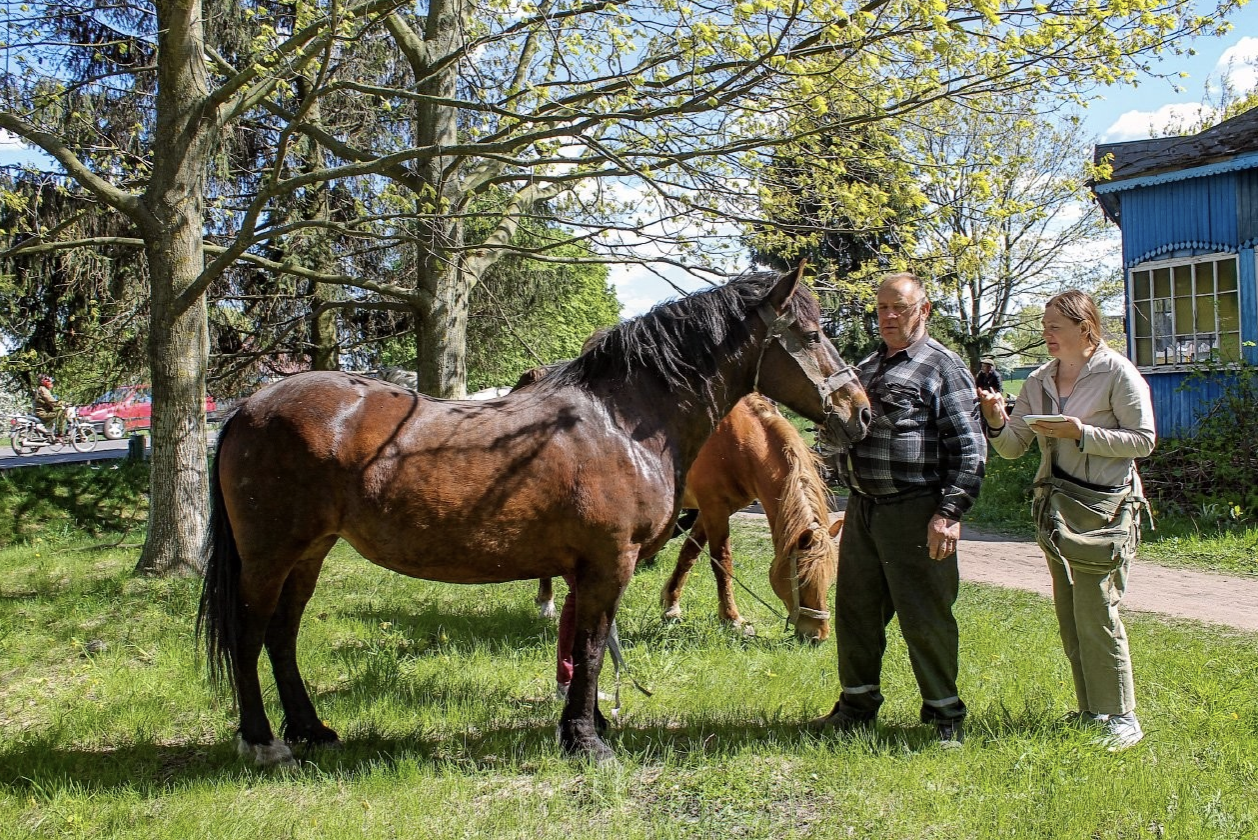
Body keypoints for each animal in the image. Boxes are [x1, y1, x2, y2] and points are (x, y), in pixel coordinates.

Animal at [535, 394, 842, 642]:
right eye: (800, 579)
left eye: (831, 577)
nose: (818, 635)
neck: (740, 443)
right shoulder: (715, 508)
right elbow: (722, 562)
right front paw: (732, 619)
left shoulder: (712, 510)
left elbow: (689, 554)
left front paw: (671, 606)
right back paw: (546, 601)